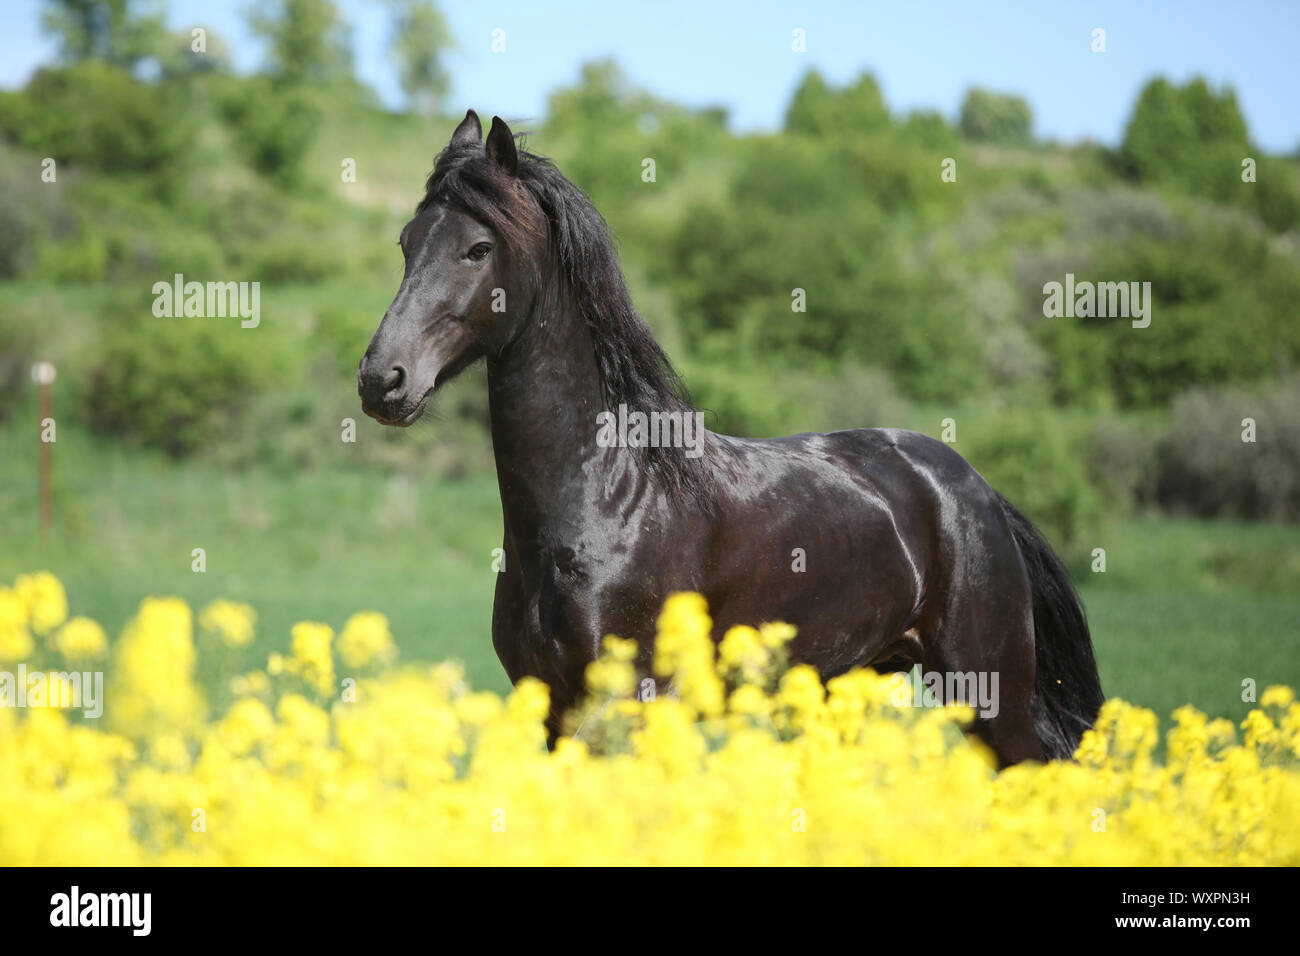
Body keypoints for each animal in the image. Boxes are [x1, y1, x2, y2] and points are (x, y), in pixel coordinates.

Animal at [358, 109, 1105, 767]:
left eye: (479, 248)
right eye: (406, 242)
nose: (381, 380)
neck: (606, 493)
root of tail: (972, 488)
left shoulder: (620, 710)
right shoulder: (553, 712)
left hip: (987, 695)